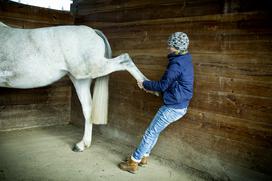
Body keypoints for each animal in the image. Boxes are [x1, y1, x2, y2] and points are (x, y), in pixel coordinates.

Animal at [0, 22, 158, 151]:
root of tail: (93, 31)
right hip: (80, 79)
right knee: (88, 109)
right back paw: (82, 145)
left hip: (93, 67)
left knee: (125, 59)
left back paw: (148, 85)